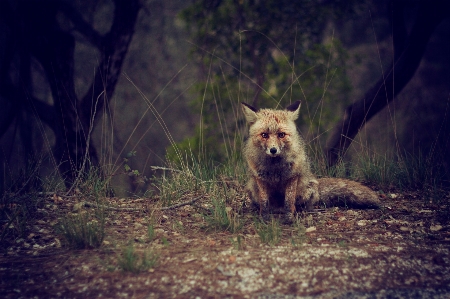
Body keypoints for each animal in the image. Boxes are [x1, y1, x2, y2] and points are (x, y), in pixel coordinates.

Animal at [243, 101, 380, 223]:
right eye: (264, 135)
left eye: (281, 135)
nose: (273, 150)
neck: (274, 168)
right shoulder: (260, 177)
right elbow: (264, 201)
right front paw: (264, 217)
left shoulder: (293, 176)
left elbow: (289, 201)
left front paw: (289, 218)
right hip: (251, 189)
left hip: (307, 192)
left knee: (303, 205)